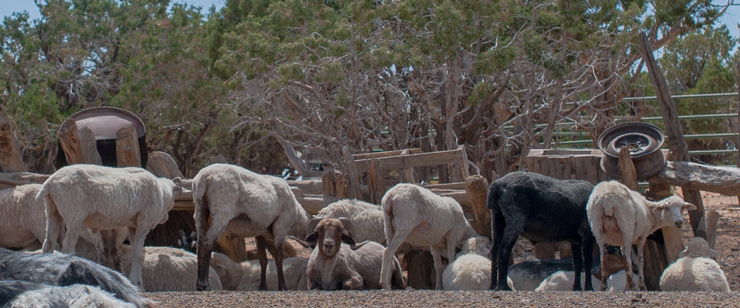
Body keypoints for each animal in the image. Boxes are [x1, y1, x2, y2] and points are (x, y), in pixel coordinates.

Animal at [38, 164, 183, 292]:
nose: (166, 218)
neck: (163, 193)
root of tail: (50, 183)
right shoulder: (144, 222)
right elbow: (138, 253)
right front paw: (134, 283)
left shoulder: (133, 226)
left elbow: (136, 251)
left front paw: (139, 285)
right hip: (74, 214)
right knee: (68, 249)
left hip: (52, 211)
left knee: (48, 245)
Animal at [192, 164, 310, 292]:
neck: (297, 215)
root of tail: (204, 178)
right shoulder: (281, 227)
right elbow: (279, 258)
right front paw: (282, 287)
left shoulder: (260, 232)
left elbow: (263, 260)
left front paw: (263, 287)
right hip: (221, 213)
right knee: (207, 243)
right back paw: (204, 284)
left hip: (200, 210)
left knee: (199, 243)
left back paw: (198, 284)